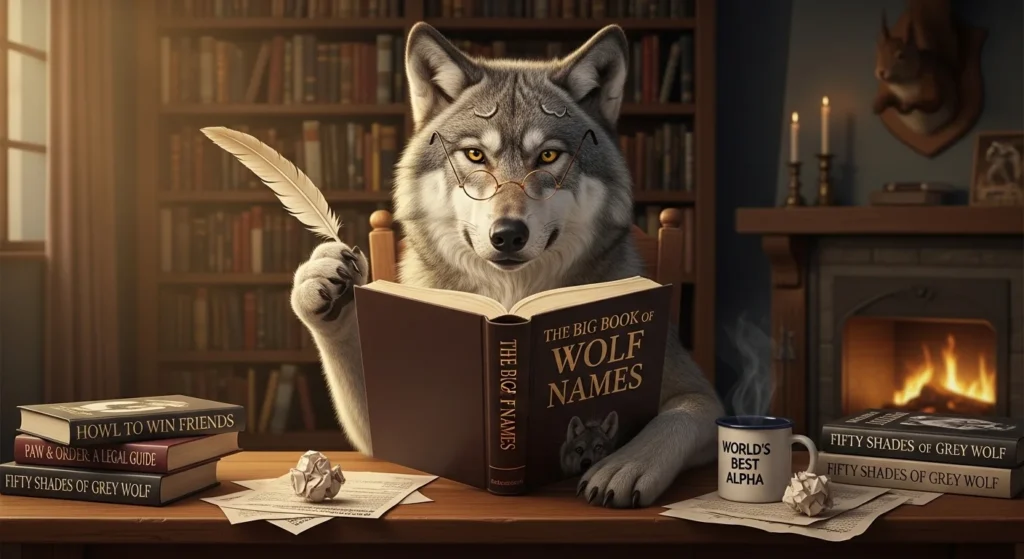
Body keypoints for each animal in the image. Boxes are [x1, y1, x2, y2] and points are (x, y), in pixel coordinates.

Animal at [290, 22, 724, 508]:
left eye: (549, 156)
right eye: (476, 155)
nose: (508, 234)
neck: (511, 298)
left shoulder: (702, 395)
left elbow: (677, 416)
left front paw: (626, 463)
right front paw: (326, 281)